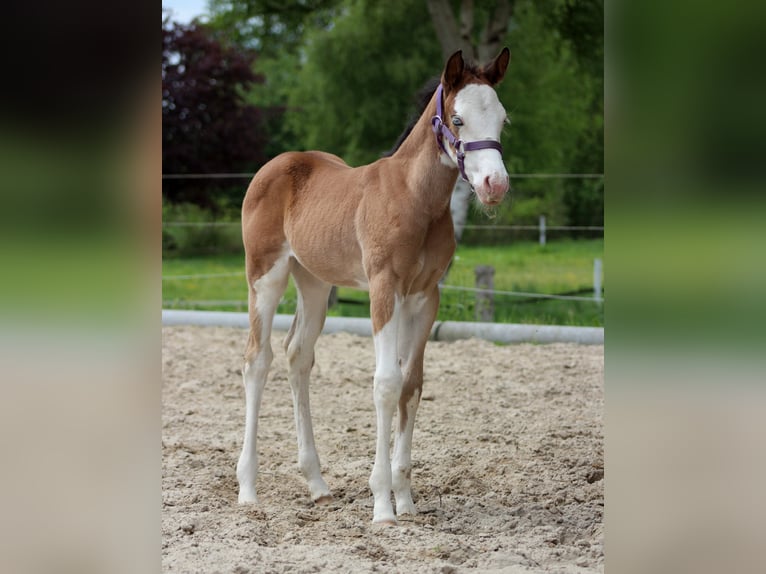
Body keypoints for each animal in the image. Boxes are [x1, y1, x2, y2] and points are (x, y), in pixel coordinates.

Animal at [234, 49, 510, 528]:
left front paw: (407, 499)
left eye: (502, 119)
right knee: (258, 359)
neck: (415, 199)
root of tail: (276, 165)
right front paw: (383, 504)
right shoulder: (384, 288)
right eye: (457, 119)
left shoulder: (424, 296)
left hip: (314, 281)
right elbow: (385, 383)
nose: (495, 185)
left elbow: (411, 385)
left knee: (297, 355)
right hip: (266, 276)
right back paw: (248, 490)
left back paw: (318, 486)